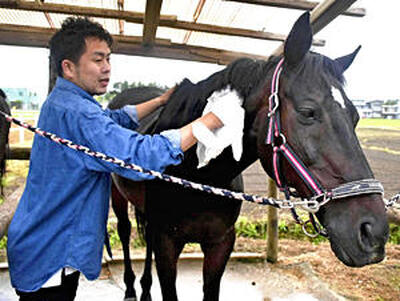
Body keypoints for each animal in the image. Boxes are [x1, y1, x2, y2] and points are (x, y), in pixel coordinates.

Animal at [108, 12, 390, 300]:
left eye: (356, 117)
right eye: (308, 112)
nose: (373, 232)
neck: (199, 174)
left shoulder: (220, 243)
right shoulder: (167, 244)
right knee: (125, 230)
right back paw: (131, 287)